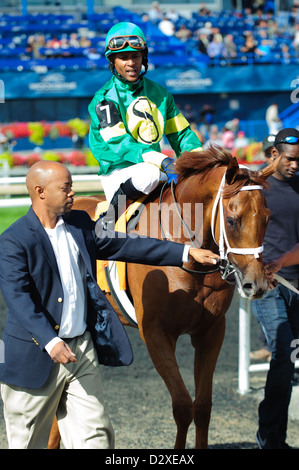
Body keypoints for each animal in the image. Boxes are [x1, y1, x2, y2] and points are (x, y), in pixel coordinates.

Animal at [48, 146, 280, 448]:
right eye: (232, 220)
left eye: (267, 217)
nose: (258, 284)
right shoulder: (156, 332)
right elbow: (182, 405)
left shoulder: (211, 331)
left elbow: (202, 406)